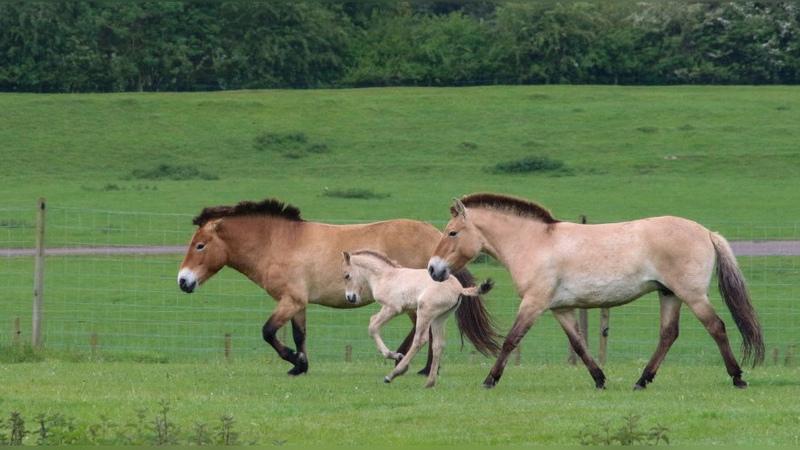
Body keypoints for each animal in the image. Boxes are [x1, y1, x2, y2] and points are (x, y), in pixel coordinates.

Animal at [342, 250, 494, 388]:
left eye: (347, 275)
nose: (350, 298)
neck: (385, 275)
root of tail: (459, 289)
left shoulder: (393, 308)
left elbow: (373, 326)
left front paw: (395, 355)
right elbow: (373, 322)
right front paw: (395, 355)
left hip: (424, 312)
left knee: (420, 340)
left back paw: (393, 374)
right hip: (439, 319)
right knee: (438, 345)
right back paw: (429, 382)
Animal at [427, 193, 764, 390]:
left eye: (452, 232)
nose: (433, 269)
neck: (535, 243)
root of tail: (706, 232)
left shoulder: (534, 303)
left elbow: (511, 340)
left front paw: (489, 379)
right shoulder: (560, 309)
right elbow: (578, 344)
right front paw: (600, 379)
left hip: (692, 295)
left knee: (716, 327)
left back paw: (737, 377)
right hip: (669, 295)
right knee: (668, 335)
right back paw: (642, 380)